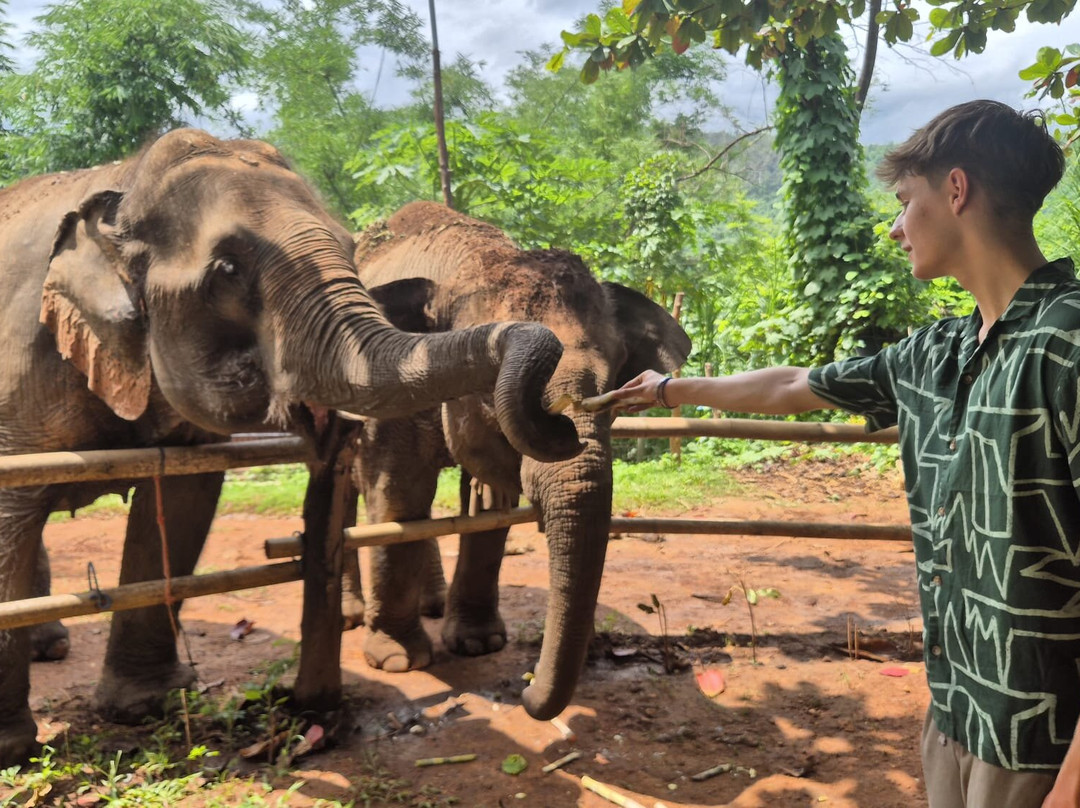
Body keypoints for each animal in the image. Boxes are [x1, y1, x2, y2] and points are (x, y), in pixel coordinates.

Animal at [0, 130, 583, 766]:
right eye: (227, 269)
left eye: (352, 252)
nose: (563, 418)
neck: (122, 181)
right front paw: (14, 748)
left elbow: (178, 502)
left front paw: (142, 707)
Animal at [348, 201, 691, 721]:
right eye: (489, 384)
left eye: (616, 375)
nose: (526, 690)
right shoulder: (390, 386)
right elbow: (397, 495)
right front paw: (397, 662)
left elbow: (493, 509)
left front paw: (479, 645)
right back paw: (353, 615)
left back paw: (433, 605)